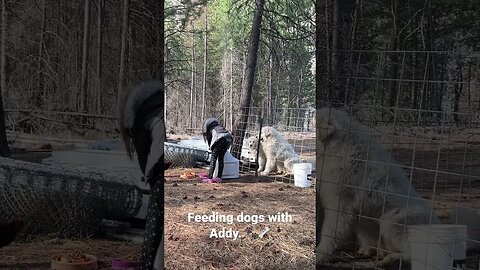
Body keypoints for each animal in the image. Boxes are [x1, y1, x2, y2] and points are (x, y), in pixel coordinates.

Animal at [316, 105, 480, 266]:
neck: (338, 147)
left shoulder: (339, 206)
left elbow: (329, 233)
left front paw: (321, 255)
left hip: (392, 220)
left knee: (412, 254)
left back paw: (390, 259)